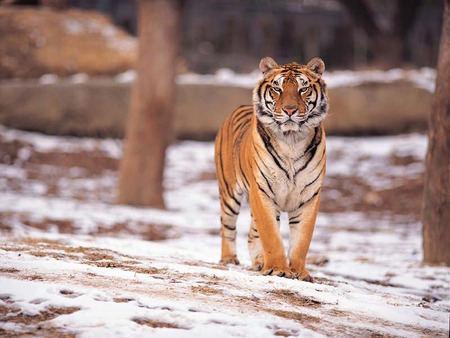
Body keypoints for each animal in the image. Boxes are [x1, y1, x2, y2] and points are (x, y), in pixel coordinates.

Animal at [214, 56, 326, 282]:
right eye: (277, 88)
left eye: (303, 89)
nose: (290, 110)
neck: (291, 140)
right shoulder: (262, 191)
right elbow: (271, 235)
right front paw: (278, 269)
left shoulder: (309, 196)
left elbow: (302, 240)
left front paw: (300, 273)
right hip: (229, 192)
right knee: (227, 226)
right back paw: (229, 259)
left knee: (251, 234)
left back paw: (259, 262)